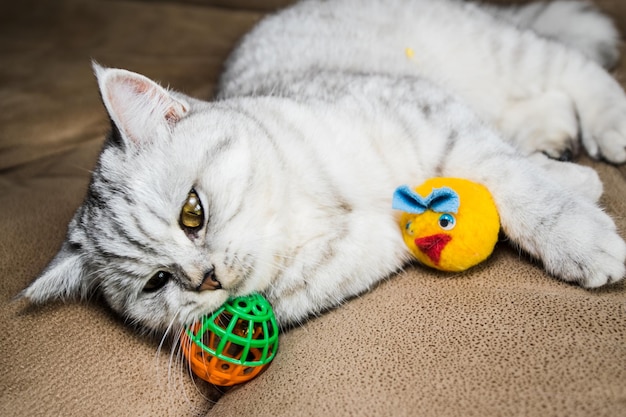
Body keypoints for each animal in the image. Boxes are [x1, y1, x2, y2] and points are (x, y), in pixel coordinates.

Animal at [19, 0, 624, 332]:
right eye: (157, 283)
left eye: (193, 213)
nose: (204, 278)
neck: (312, 216)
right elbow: (499, 182)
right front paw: (578, 182)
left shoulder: (436, 117)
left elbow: (519, 185)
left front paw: (582, 236)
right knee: (539, 105)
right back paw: (558, 140)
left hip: (501, 51)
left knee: (577, 72)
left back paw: (609, 128)